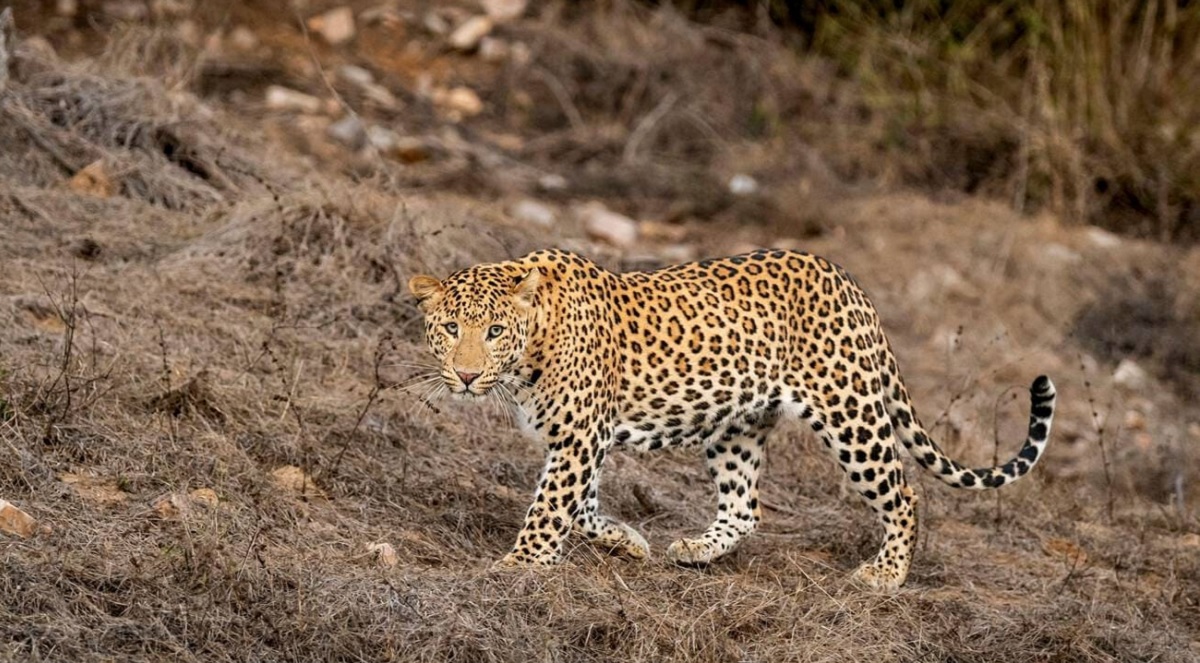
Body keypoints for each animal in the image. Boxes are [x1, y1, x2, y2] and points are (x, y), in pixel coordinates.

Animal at [408, 249, 1056, 590]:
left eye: (495, 331)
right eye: (451, 328)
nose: (466, 376)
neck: (530, 350)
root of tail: (852, 284)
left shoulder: (579, 438)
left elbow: (549, 506)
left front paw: (518, 566)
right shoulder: (579, 441)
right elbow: (581, 505)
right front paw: (628, 542)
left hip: (850, 412)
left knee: (904, 492)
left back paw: (886, 574)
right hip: (738, 425)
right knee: (745, 507)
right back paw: (696, 549)